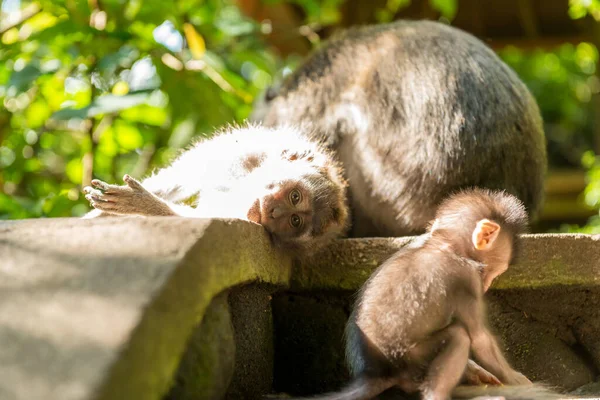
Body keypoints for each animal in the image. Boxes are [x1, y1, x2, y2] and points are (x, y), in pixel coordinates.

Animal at [82, 123, 350, 253]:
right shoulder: (251, 150)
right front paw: (95, 215)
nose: (275, 212)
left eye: (295, 221)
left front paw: (142, 203)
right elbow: (188, 170)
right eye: (295, 196)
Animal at [278, 189, 560, 398]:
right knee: (459, 336)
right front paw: (515, 378)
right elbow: (480, 339)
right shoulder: (466, 280)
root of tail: (377, 373)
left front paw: (480, 372)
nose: (488, 284)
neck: (444, 244)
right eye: (494, 272)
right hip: (411, 361)